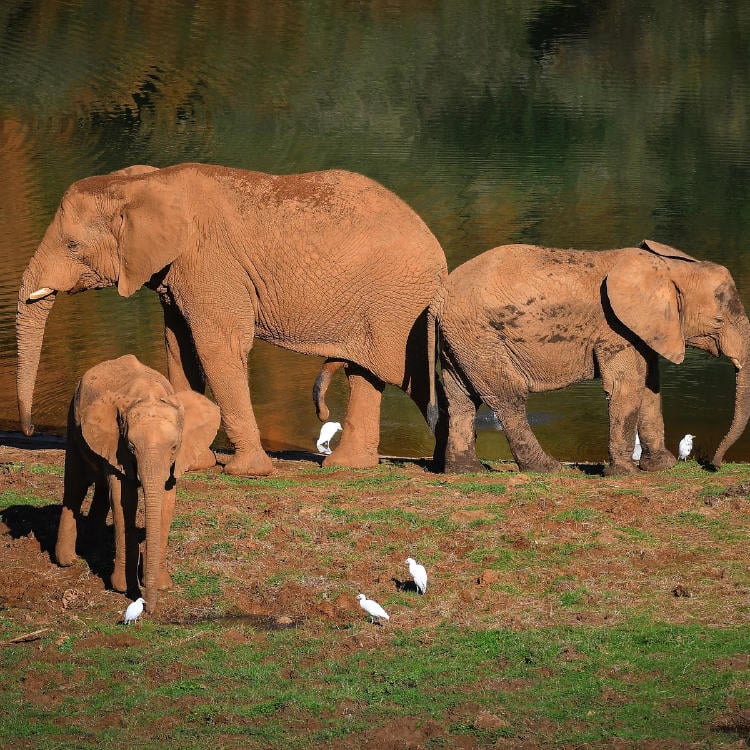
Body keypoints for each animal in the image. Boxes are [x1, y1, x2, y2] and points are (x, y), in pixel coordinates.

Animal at [16, 163, 448, 476]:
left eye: (72, 245)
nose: (31, 431)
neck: (143, 182)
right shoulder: (178, 273)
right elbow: (180, 348)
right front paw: (194, 464)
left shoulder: (209, 262)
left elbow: (215, 348)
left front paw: (245, 472)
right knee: (364, 374)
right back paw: (347, 466)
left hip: (401, 304)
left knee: (411, 378)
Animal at [55, 354, 220, 613]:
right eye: (132, 447)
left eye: (174, 447)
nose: (149, 609)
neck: (149, 395)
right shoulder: (118, 444)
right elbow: (124, 498)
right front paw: (122, 587)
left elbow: (166, 501)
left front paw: (163, 585)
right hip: (73, 421)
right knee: (75, 486)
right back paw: (67, 560)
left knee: (101, 487)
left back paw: (92, 549)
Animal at [434, 240, 750, 475]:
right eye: (719, 320)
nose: (714, 464)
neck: (667, 268)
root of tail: (441, 296)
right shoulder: (615, 328)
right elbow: (627, 385)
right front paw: (625, 474)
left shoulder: (644, 328)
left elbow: (650, 387)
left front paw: (662, 467)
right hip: (480, 336)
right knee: (508, 397)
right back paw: (547, 469)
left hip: (460, 342)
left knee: (461, 398)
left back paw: (467, 471)